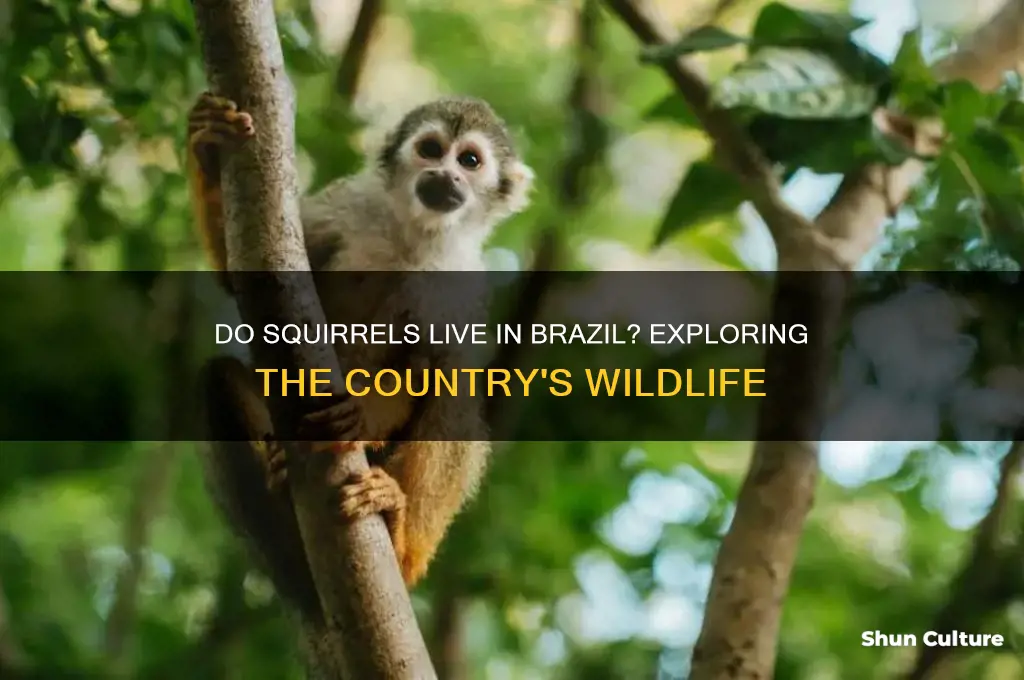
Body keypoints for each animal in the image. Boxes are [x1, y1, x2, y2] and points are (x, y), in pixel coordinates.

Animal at [188, 92, 535, 620]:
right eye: (432, 149)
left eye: (470, 161)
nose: (447, 176)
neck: (414, 235)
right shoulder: (349, 205)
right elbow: (242, 279)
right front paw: (210, 144)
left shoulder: (459, 285)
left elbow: (432, 375)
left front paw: (359, 417)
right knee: (219, 377)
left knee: (455, 409)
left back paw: (399, 538)